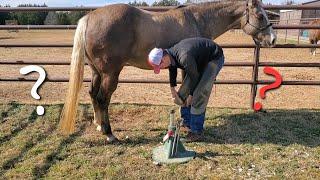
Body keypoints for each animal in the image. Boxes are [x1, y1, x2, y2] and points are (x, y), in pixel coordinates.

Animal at [58, 0, 276, 143]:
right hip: (110, 74)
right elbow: (188, 92)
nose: (272, 39)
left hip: (97, 72)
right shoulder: (190, 67)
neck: (197, 19)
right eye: (259, 15)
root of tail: (89, 17)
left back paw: (98, 124)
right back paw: (109, 133)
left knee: (93, 94)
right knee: (103, 98)